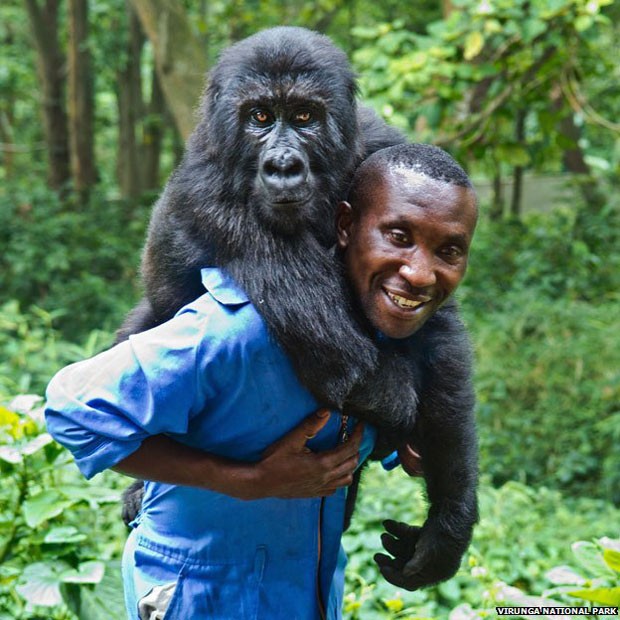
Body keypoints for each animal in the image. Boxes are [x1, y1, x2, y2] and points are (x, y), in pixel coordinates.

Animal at [118, 27, 478, 592]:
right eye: (260, 117)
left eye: (305, 116)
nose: (283, 165)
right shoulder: (211, 194)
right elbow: (354, 363)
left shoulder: (379, 143)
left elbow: (438, 328)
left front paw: (449, 521)